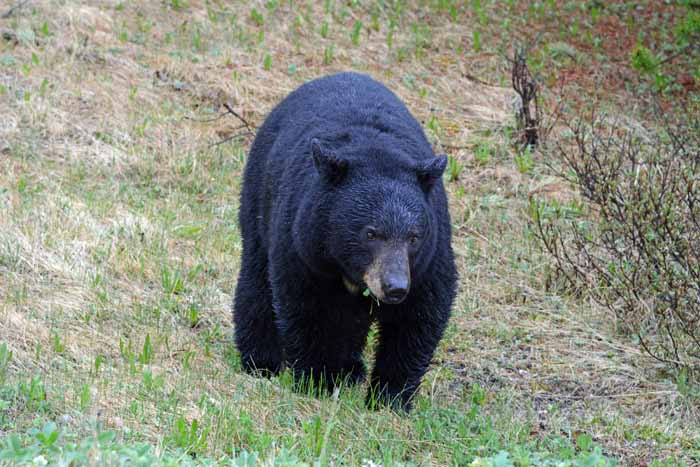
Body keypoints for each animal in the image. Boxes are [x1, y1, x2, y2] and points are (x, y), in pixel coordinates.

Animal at [232, 71, 456, 412]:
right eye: (370, 233)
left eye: (414, 237)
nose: (395, 287)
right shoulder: (302, 244)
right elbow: (304, 308)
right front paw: (316, 381)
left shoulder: (430, 255)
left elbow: (419, 317)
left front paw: (389, 398)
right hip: (259, 196)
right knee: (257, 278)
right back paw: (260, 360)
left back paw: (349, 369)